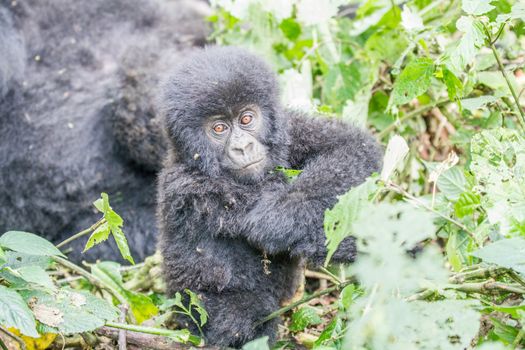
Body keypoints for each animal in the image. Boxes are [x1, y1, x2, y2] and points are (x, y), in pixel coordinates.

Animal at [158, 46, 382, 348]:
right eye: (219, 129)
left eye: (246, 119)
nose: (242, 147)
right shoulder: (190, 187)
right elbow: (267, 226)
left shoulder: (291, 130)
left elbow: (352, 145)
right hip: (188, 318)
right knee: (240, 320)